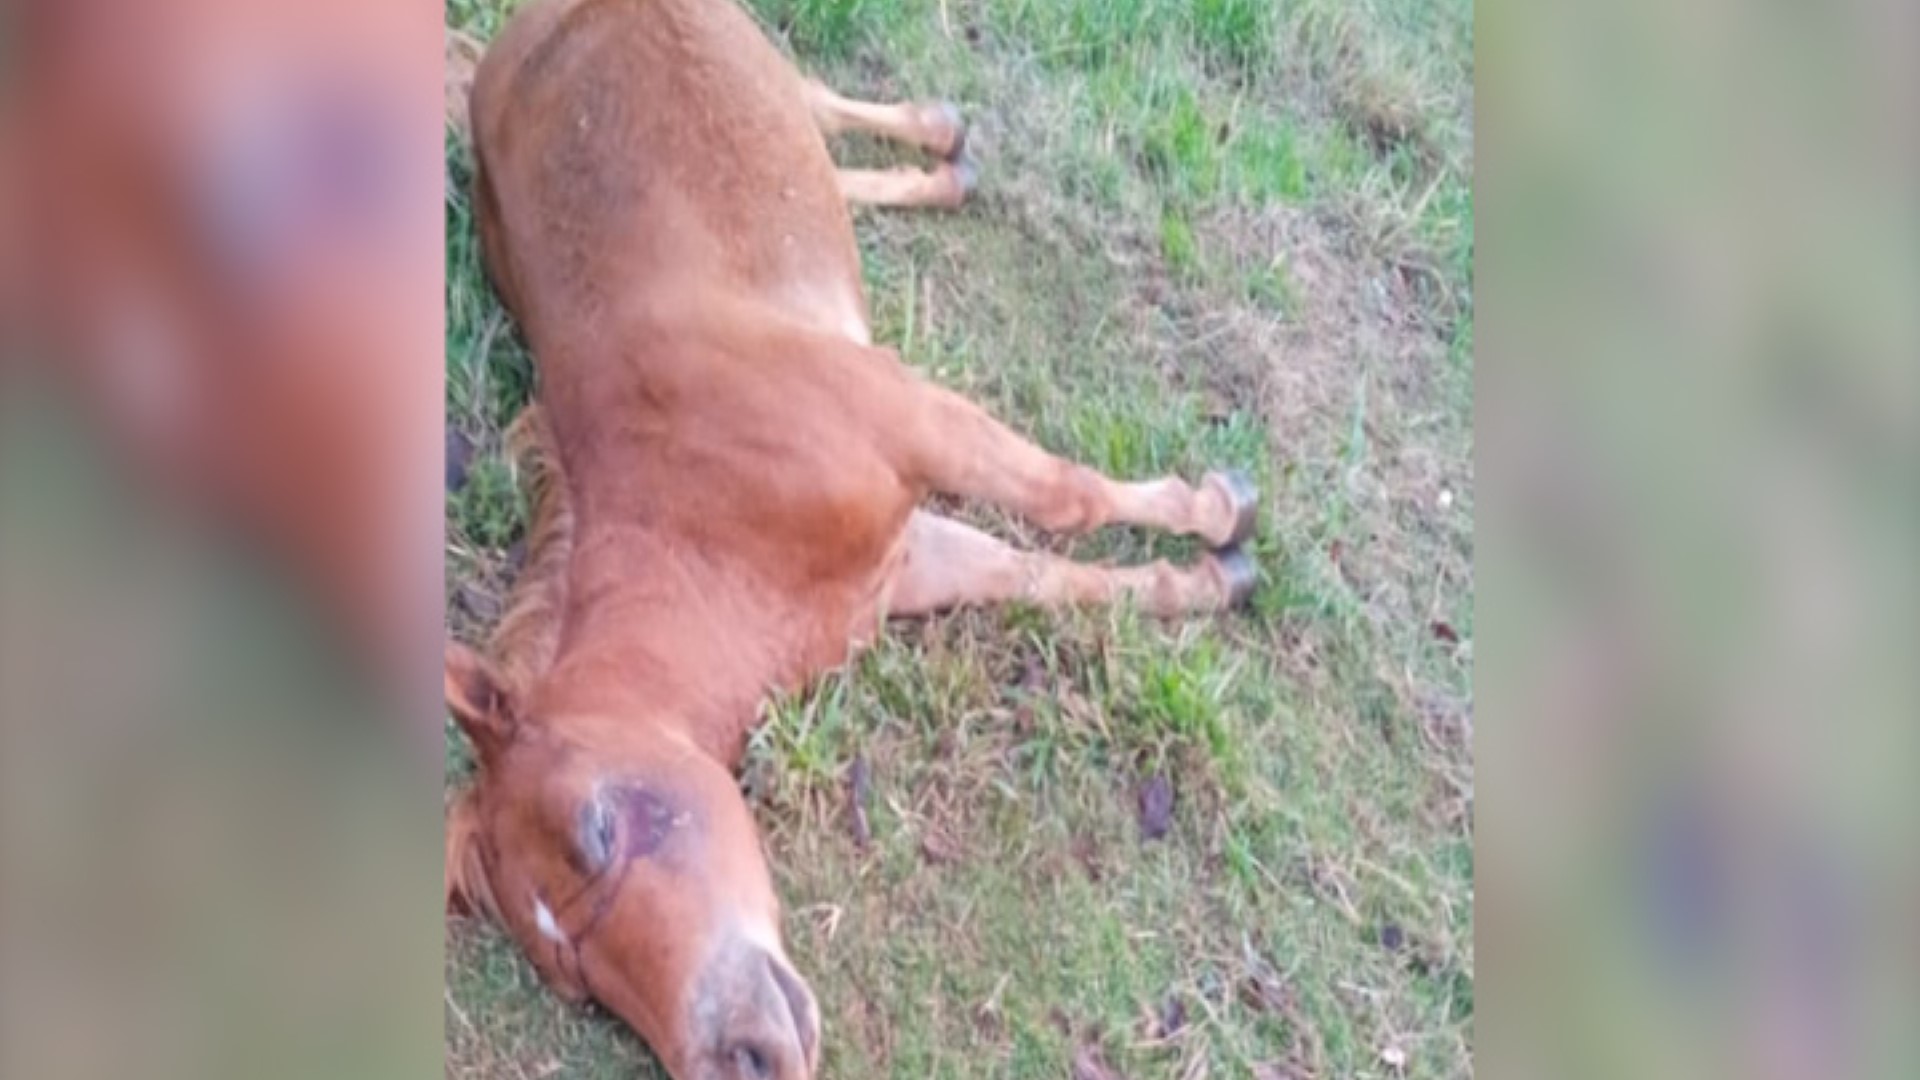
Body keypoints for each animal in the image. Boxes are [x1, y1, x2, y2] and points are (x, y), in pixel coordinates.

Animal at [445, 2, 1259, 1076]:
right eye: (573, 976)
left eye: (599, 826)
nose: (743, 1054)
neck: (704, 506)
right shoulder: (904, 565)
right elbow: (1035, 574)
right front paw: (1211, 579)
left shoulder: (918, 421)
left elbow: (1065, 500)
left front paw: (1221, 510)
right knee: (836, 162)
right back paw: (950, 167)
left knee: (829, 113)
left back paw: (942, 137)